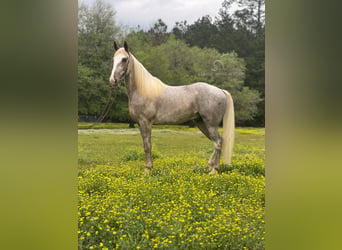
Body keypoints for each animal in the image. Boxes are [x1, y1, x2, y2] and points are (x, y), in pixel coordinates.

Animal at [109, 41, 235, 175]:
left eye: (124, 59)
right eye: (114, 59)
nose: (113, 80)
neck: (143, 90)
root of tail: (221, 91)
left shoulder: (145, 122)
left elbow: (147, 146)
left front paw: (147, 170)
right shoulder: (139, 123)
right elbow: (145, 145)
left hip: (211, 124)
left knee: (218, 142)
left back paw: (214, 171)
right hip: (201, 122)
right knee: (217, 142)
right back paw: (211, 166)